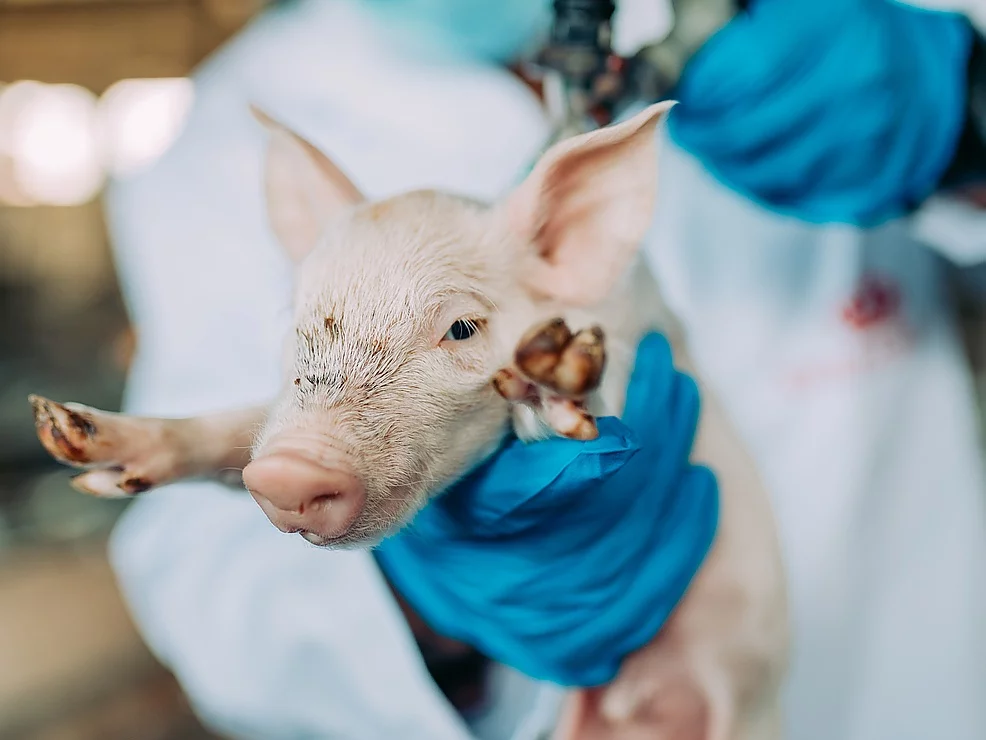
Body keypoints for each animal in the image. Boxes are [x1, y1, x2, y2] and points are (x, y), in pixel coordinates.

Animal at [26, 99, 788, 740]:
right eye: (296, 321)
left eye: (461, 327)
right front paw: (70, 437)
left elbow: (600, 402)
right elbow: (232, 428)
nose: (289, 468)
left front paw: (548, 371)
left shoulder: (641, 359)